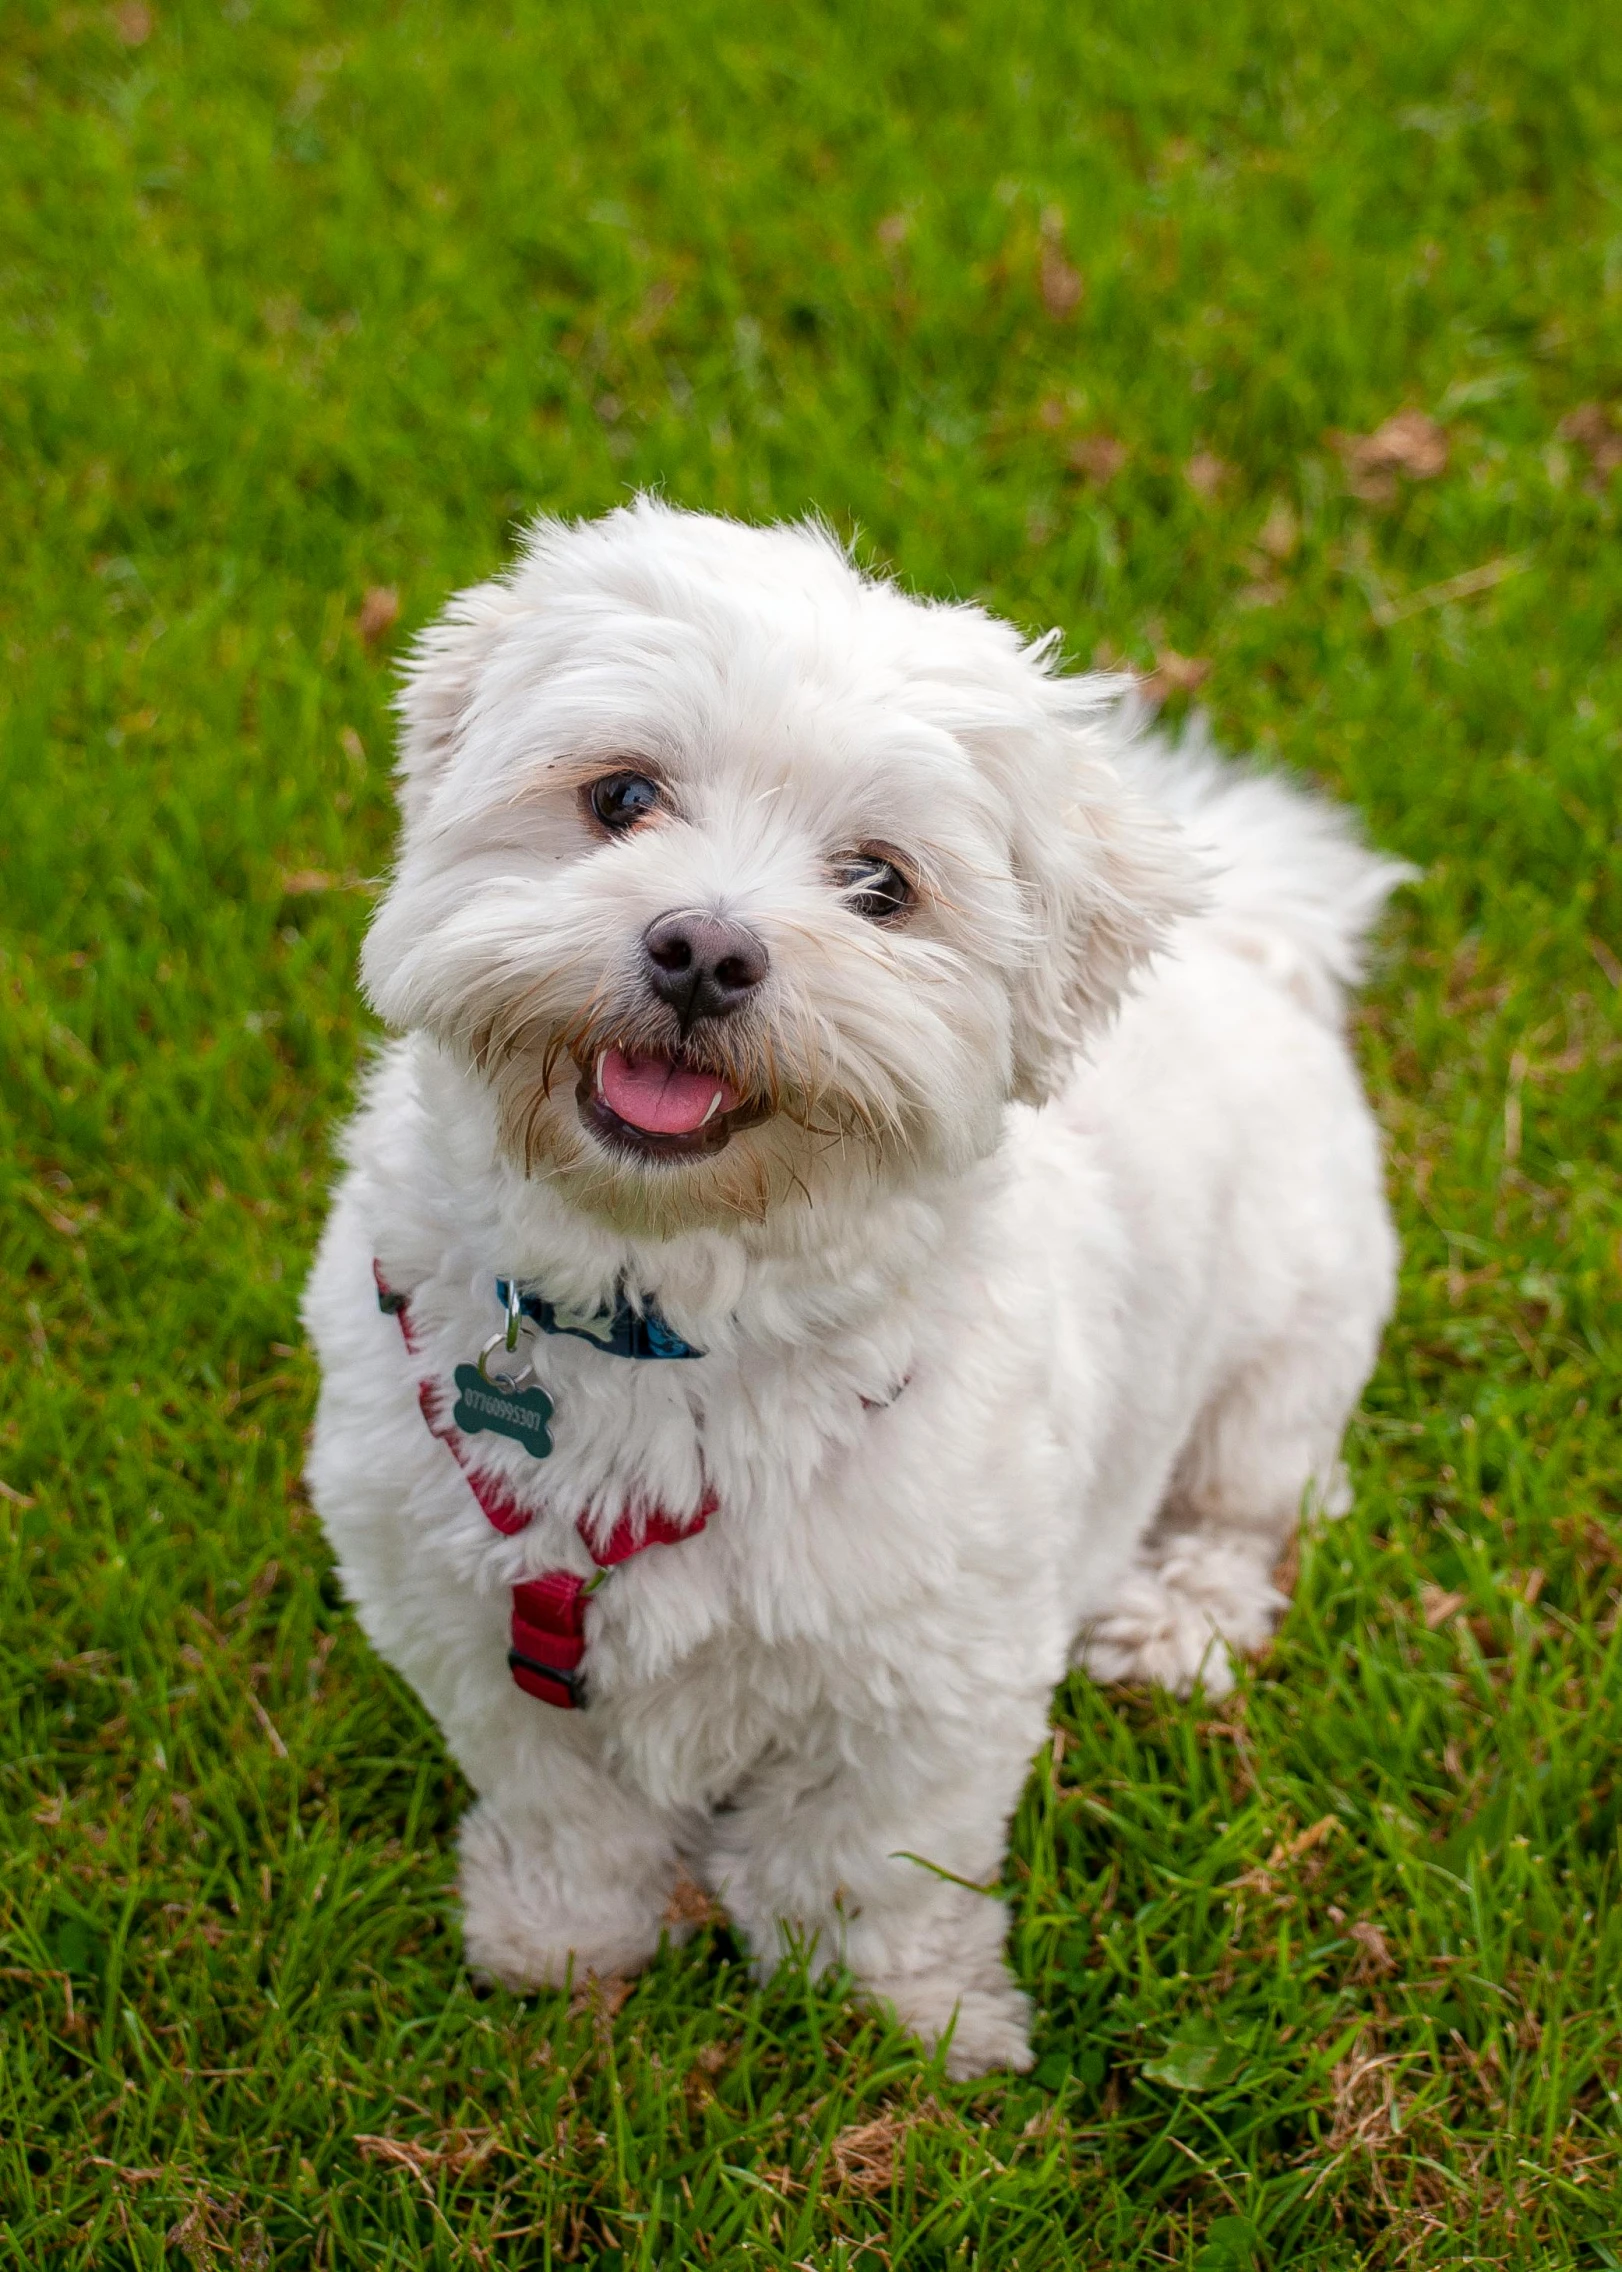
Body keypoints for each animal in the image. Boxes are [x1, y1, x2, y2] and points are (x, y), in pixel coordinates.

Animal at [306, 502, 1399, 2081]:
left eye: (879, 883)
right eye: (621, 795)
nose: (703, 950)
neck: (659, 1308)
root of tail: (1249, 944)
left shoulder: (932, 1673)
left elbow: (865, 1859)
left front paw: (901, 2017)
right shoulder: (462, 1614)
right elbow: (567, 1807)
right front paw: (560, 1938)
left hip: (1283, 1362)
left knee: (1245, 1514)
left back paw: (1171, 1621)